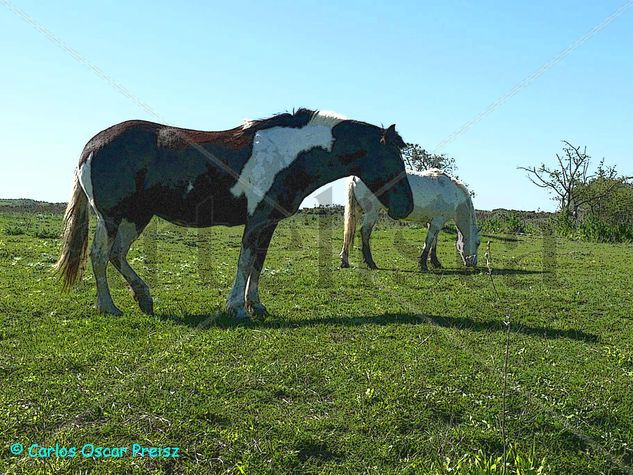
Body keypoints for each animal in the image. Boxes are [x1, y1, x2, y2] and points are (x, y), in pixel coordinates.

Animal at [56, 109, 412, 320]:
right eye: (393, 160)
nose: (406, 207)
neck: (289, 154)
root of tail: (92, 145)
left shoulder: (269, 222)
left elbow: (258, 264)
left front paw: (256, 304)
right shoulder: (256, 220)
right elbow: (244, 261)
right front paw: (237, 307)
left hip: (135, 217)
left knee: (116, 254)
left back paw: (143, 297)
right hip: (112, 217)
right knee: (100, 256)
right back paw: (108, 306)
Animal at [340, 169, 478, 270]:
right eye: (478, 243)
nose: (473, 263)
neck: (453, 193)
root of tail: (355, 177)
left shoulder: (433, 222)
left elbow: (434, 241)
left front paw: (435, 262)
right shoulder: (437, 222)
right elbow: (428, 242)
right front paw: (423, 264)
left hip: (356, 211)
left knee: (348, 233)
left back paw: (344, 261)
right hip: (372, 212)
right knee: (364, 233)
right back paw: (370, 263)